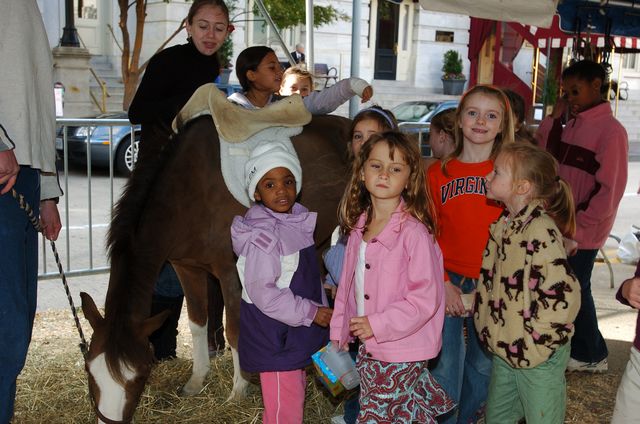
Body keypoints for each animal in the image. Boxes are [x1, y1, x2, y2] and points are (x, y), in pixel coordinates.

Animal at [81, 113, 350, 424]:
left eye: (140, 375)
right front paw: (197, 380)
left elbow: (235, 330)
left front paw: (238, 390)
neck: (187, 192)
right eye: (90, 371)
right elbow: (198, 323)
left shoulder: (229, 270)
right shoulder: (186, 267)